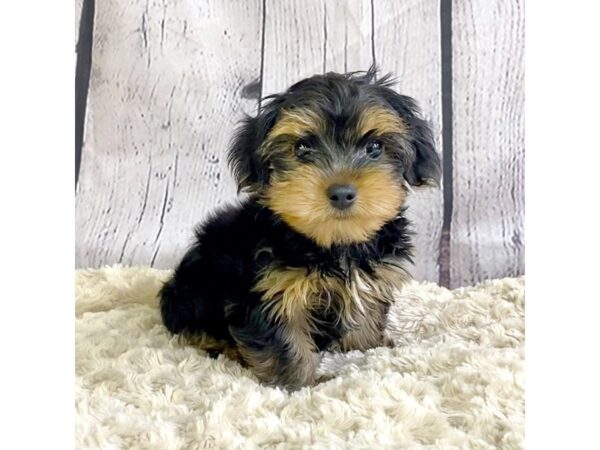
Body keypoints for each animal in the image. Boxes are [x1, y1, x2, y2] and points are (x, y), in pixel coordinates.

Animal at [159, 67, 440, 390]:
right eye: (302, 147)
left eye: (375, 147)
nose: (341, 193)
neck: (334, 243)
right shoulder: (270, 293)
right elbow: (285, 343)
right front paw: (302, 384)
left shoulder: (373, 278)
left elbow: (366, 315)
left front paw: (367, 347)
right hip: (191, 290)